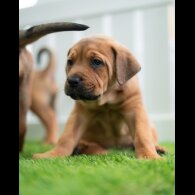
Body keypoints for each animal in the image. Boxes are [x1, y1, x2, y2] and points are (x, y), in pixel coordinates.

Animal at [33, 35, 166, 159]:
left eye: (96, 62)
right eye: (70, 62)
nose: (72, 81)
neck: (107, 98)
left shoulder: (135, 108)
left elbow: (142, 136)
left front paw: (149, 156)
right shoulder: (79, 113)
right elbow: (66, 137)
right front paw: (53, 154)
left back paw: (158, 148)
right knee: (89, 144)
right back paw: (89, 148)